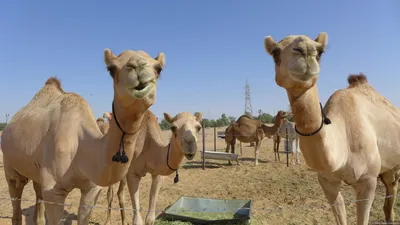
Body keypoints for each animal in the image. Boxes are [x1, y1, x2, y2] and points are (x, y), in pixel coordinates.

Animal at [0, 48, 166, 225]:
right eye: (111, 69)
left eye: (159, 68)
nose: (138, 68)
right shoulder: (53, 190)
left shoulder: (91, 189)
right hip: (10, 166)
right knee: (16, 195)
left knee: (37, 192)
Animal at [262, 32, 400, 224]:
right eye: (275, 52)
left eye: (320, 51)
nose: (305, 50)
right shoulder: (327, 181)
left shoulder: (368, 181)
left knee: (392, 189)